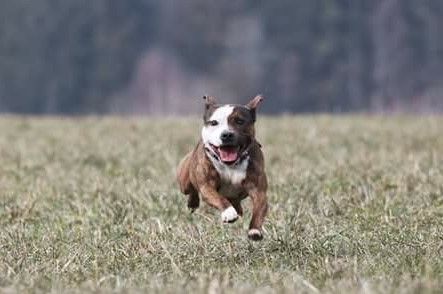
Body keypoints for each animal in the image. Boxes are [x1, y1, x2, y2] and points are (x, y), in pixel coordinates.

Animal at [176, 95, 268, 240]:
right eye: (214, 122)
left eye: (240, 121)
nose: (227, 134)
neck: (231, 165)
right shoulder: (207, 187)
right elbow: (219, 198)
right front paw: (229, 212)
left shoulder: (258, 190)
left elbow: (259, 208)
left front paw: (255, 230)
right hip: (184, 181)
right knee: (191, 189)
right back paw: (193, 203)